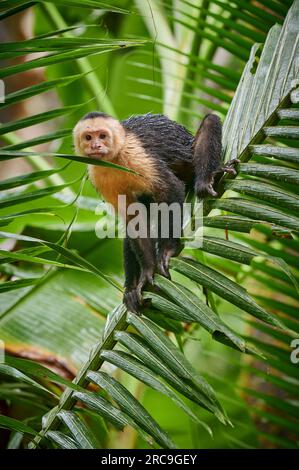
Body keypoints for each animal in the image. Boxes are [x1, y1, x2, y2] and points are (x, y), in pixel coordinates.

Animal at [73, 112, 239, 314]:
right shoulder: (97, 173)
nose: (95, 145)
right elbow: (133, 220)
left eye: (102, 136)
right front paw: (148, 272)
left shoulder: (134, 154)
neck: (114, 159)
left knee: (210, 121)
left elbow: (170, 188)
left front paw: (168, 250)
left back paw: (207, 179)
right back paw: (130, 289)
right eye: (88, 137)